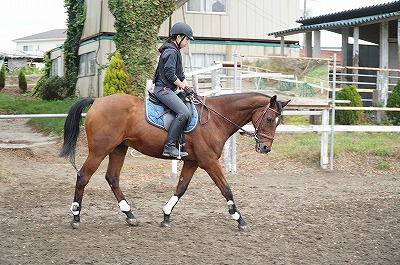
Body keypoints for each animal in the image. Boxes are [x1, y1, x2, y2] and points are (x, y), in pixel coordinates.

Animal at [59, 93, 290, 229]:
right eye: (270, 119)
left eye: (278, 122)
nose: (265, 148)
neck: (216, 119)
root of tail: (98, 101)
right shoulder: (208, 162)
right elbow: (226, 189)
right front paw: (239, 219)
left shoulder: (192, 162)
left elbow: (181, 188)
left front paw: (166, 216)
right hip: (100, 150)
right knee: (83, 176)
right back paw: (76, 217)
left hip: (118, 149)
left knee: (112, 178)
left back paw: (129, 214)